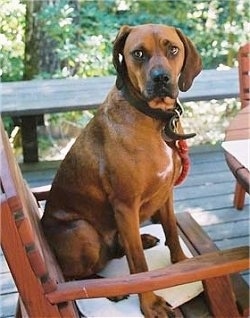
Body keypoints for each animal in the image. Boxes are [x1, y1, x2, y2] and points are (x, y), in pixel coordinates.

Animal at [41, 24, 201, 318]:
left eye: (173, 49)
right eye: (138, 53)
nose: (161, 78)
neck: (153, 119)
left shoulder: (166, 195)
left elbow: (172, 233)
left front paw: (182, 264)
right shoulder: (125, 205)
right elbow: (138, 265)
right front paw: (150, 303)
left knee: (120, 248)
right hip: (83, 231)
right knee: (74, 276)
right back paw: (110, 288)